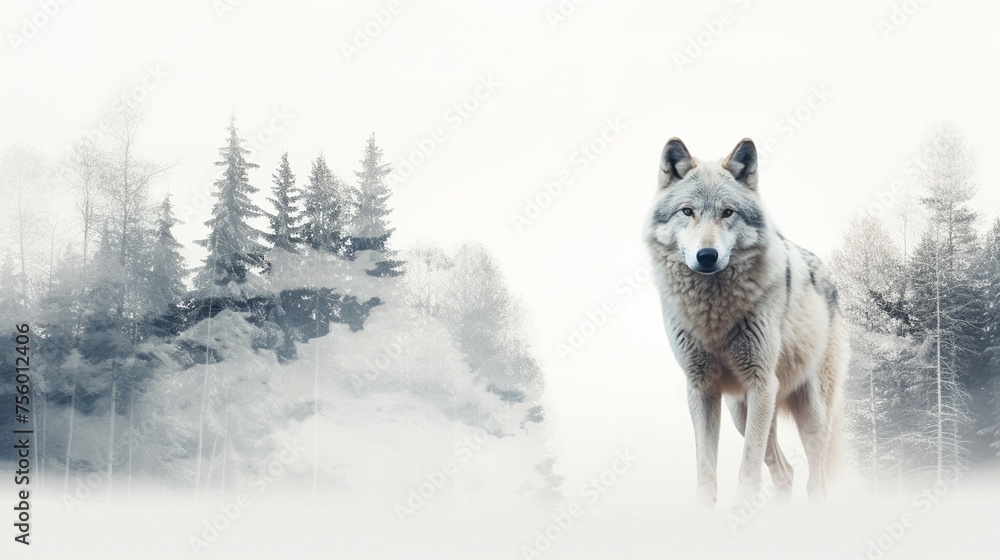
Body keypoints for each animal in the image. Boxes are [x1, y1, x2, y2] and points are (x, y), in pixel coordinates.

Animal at [645, 137, 846, 507]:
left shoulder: (761, 382)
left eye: (728, 212)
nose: (706, 255)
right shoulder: (701, 388)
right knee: (785, 471)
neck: (712, 313)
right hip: (743, 412)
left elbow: (748, 467)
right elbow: (706, 468)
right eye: (687, 211)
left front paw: (740, 511)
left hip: (809, 412)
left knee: (816, 476)